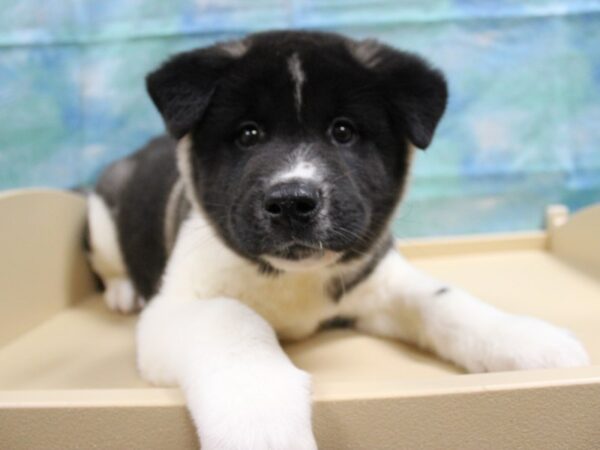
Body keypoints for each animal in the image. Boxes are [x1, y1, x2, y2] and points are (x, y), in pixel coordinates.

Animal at [86, 31, 588, 450]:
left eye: (343, 131)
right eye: (248, 134)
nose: (292, 202)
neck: (292, 278)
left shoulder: (377, 278)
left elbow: (444, 300)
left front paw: (532, 342)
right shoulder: (174, 308)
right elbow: (233, 321)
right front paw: (260, 419)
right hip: (101, 215)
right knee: (109, 262)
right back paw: (123, 291)